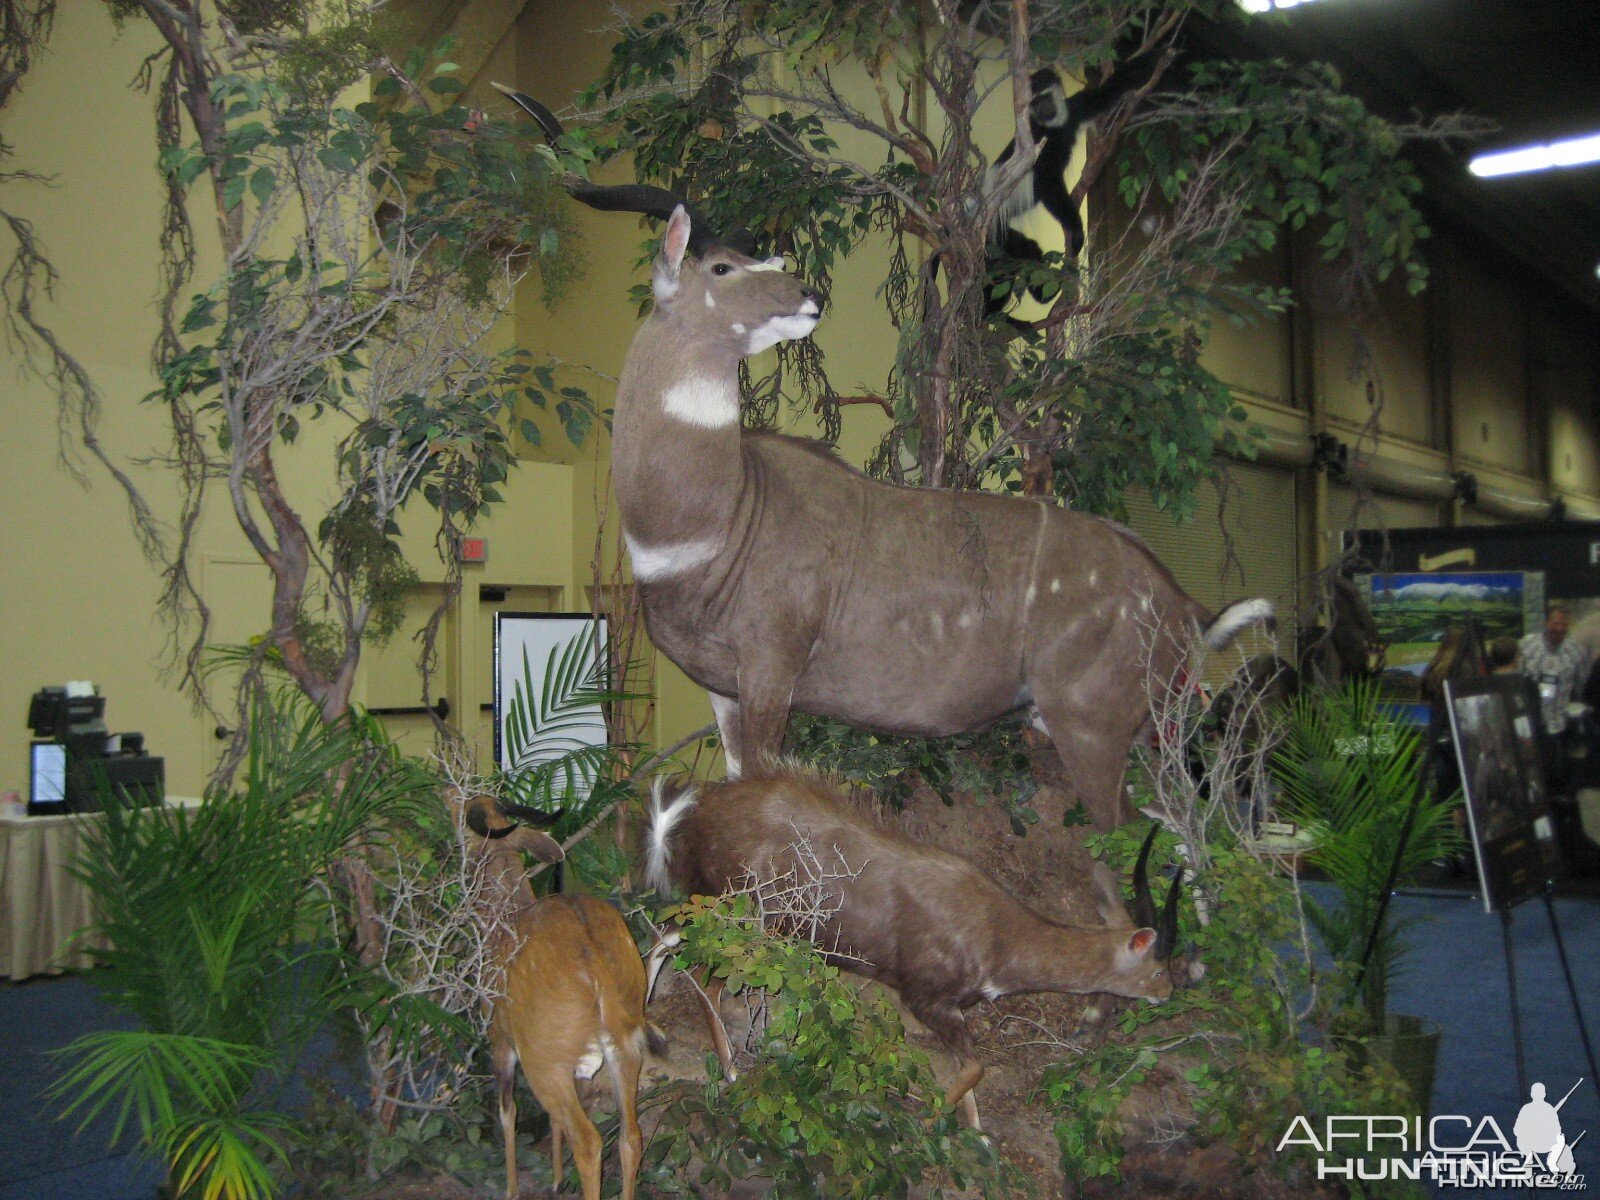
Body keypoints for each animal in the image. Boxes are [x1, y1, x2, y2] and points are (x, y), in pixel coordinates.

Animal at [499, 89, 1273, 832]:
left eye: (756, 263)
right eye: (721, 266)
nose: (811, 297)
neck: (711, 524)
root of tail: (1185, 609)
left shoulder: (772, 667)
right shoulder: (723, 691)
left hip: (1094, 725)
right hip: (1142, 732)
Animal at [643, 771, 1184, 1126]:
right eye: (1160, 963)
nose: (1169, 994)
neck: (1000, 939)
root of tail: (690, 814)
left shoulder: (955, 1005)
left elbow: (970, 1070)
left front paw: (978, 1137)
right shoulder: (924, 994)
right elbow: (975, 1066)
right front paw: (932, 1124)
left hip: (717, 904)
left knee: (664, 938)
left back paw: (656, 1030)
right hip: (745, 916)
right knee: (707, 980)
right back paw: (730, 1071)